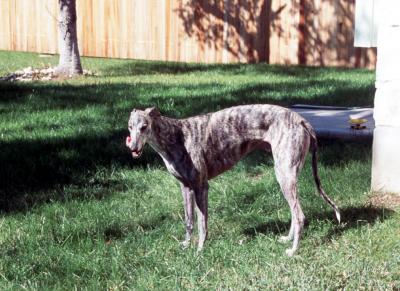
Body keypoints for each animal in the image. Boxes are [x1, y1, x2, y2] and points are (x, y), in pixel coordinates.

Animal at [126, 106, 340, 256]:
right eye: (130, 126)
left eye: (144, 127)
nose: (133, 148)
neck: (176, 136)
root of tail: (302, 120)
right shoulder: (185, 187)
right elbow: (189, 221)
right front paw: (186, 244)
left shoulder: (201, 186)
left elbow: (202, 223)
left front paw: (200, 250)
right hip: (285, 175)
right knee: (294, 214)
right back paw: (287, 239)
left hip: (285, 174)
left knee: (300, 215)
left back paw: (293, 250)